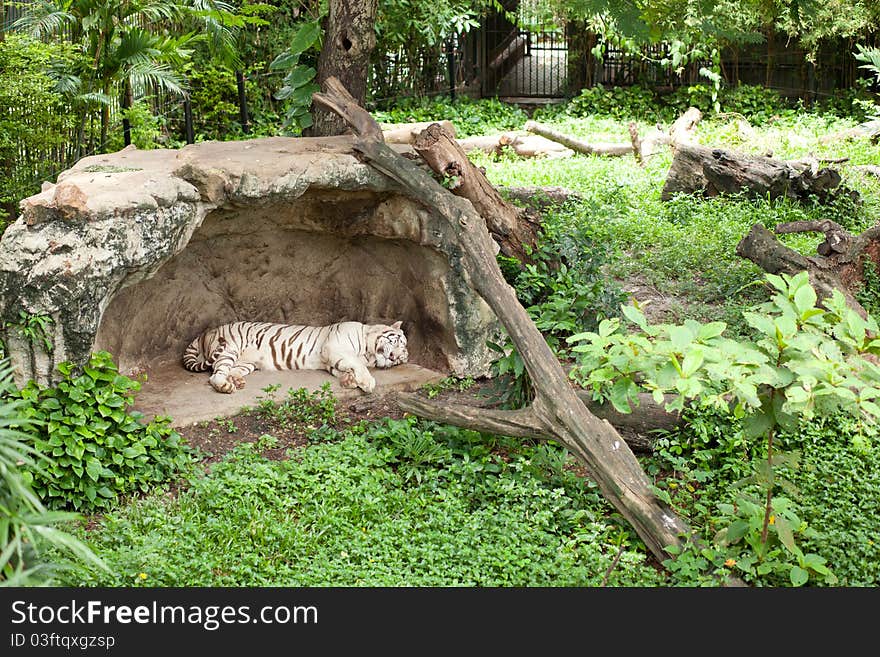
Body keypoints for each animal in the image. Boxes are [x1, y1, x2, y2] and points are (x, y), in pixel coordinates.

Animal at [184, 320, 410, 392]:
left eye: (400, 359)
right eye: (397, 342)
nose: (394, 357)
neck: (368, 352)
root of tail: (208, 332)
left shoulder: (330, 360)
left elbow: (343, 369)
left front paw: (349, 380)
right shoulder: (334, 347)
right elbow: (356, 364)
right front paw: (367, 382)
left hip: (246, 363)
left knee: (229, 370)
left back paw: (236, 381)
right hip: (229, 349)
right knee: (215, 374)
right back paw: (225, 385)